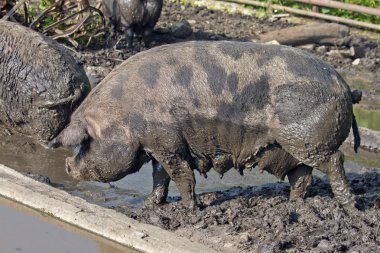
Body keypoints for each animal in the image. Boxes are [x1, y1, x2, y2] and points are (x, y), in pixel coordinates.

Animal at [49, 40, 360, 210]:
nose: (67, 165)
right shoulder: (160, 145)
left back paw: (350, 208)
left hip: (309, 140)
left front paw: (191, 209)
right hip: (296, 148)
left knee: (335, 161)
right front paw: (150, 205)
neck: (127, 115)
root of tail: (345, 86)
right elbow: (160, 178)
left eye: (85, 142)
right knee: (303, 176)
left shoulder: (168, 143)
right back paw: (293, 205)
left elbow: (181, 175)